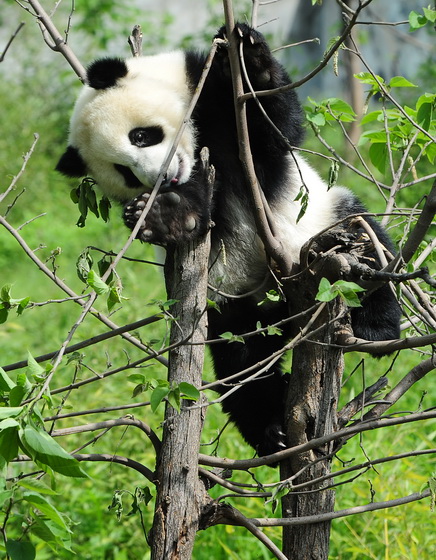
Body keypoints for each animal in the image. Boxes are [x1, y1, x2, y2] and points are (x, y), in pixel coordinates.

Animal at [56, 24, 400, 458]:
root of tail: (283, 305)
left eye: (141, 136)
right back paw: (272, 429)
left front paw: (246, 52)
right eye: (125, 173)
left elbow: (274, 127)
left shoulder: (213, 100)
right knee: (241, 363)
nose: (162, 177)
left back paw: (375, 329)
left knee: (366, 247)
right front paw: (167, 214)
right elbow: (200, 212)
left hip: (327, 223)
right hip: (234, 304)